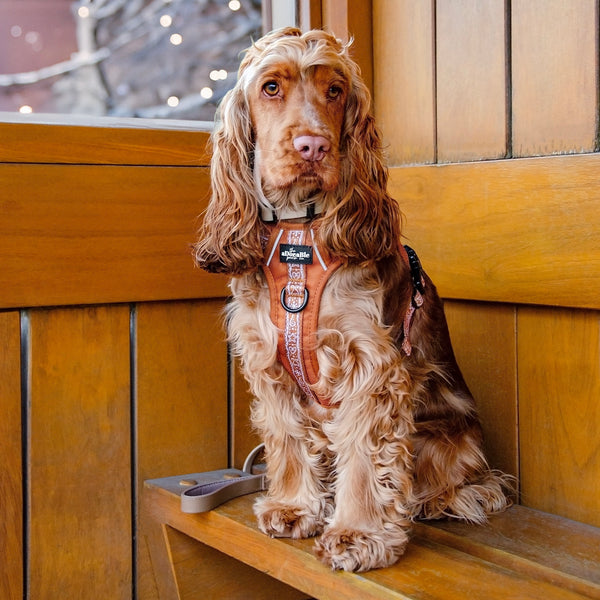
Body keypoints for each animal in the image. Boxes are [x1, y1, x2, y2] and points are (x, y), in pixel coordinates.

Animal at [193, 28, 510, 572]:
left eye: (336, 90)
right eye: (271, 87)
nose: (314, 145)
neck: (298, 232)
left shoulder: (370, 362)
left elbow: (365, 452)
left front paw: (358, 534)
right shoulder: (267, 356)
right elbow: (286, 437)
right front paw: (293, 507)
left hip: (446, 436)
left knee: (473, 485)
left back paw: (433, 500)